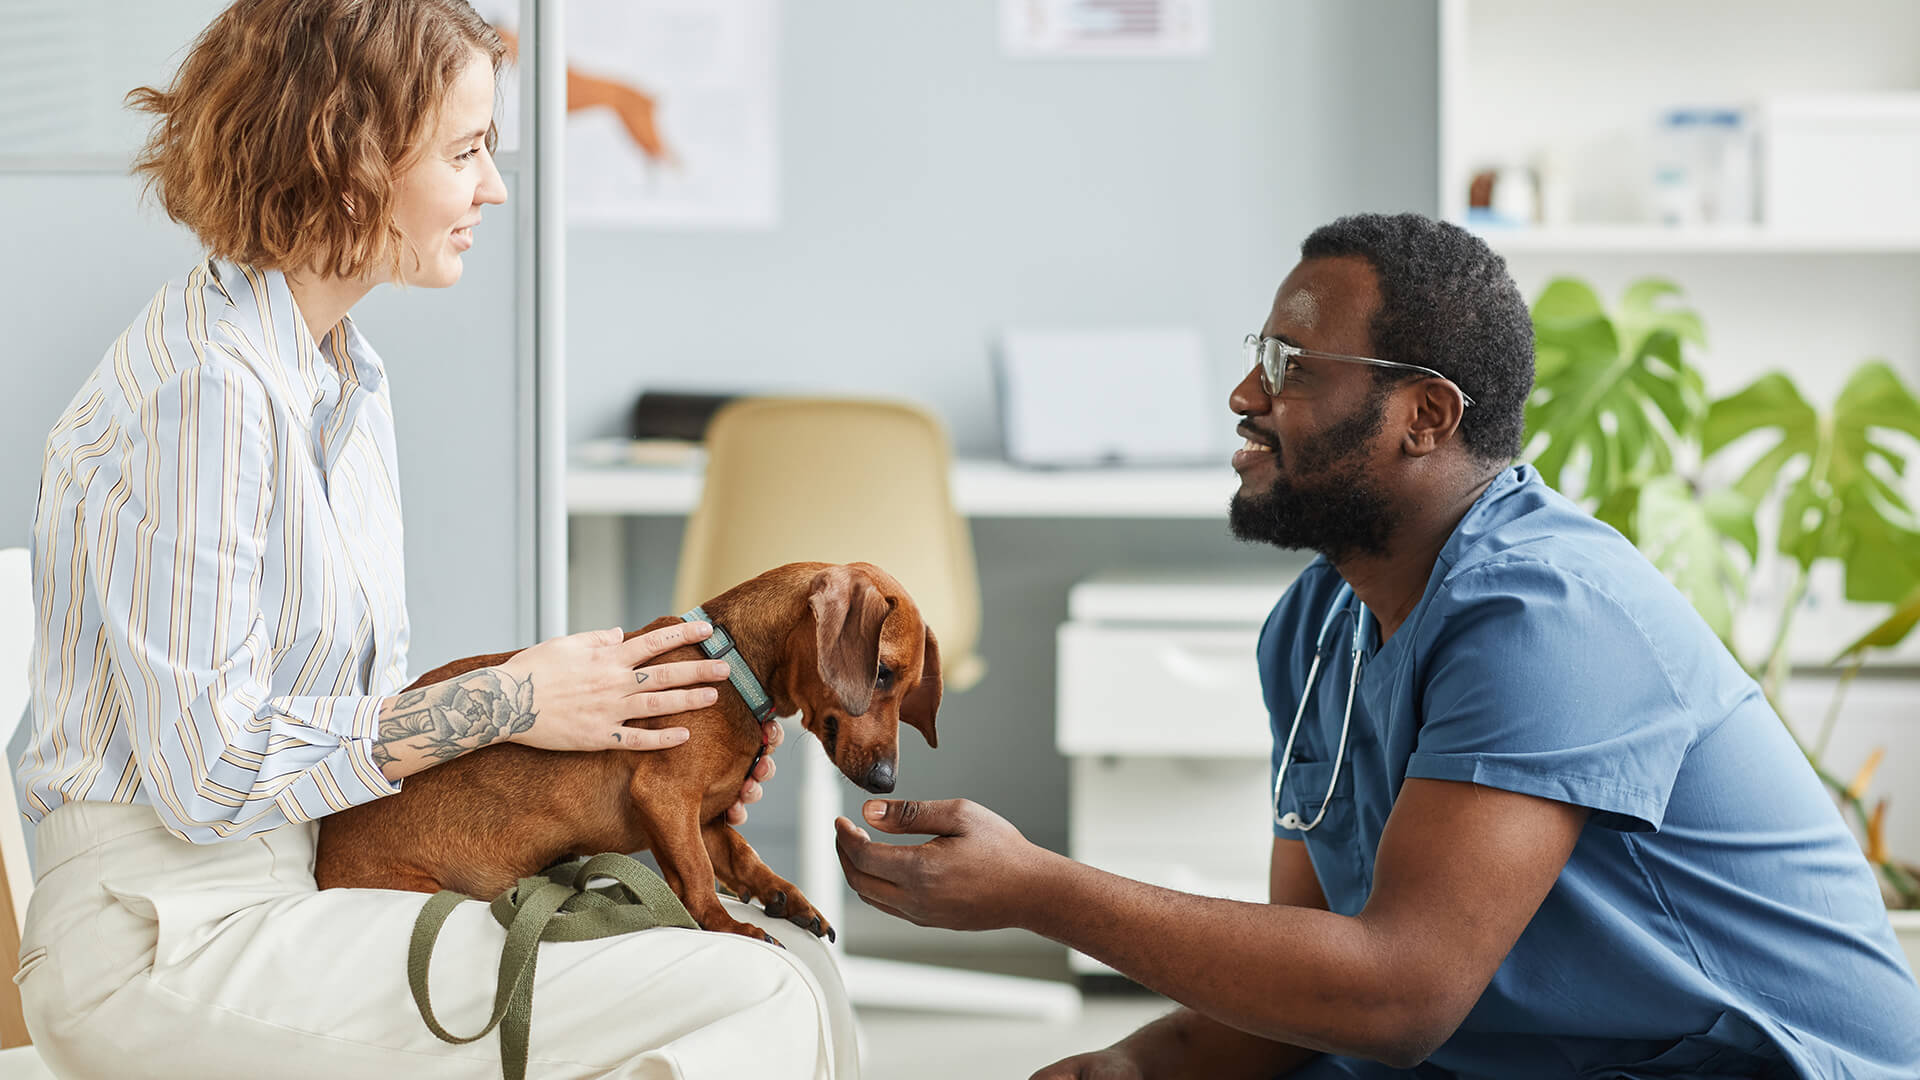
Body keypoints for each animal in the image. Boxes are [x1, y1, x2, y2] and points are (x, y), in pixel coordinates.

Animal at [314, 557, 944, 937]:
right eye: (881, 674)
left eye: (907, 685)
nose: (887, 781)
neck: (731, 665)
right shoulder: (666, 799)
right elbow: (696, 875)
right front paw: (724, 924)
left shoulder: (709, 818)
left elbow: (743, 859)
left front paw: (788, 898)